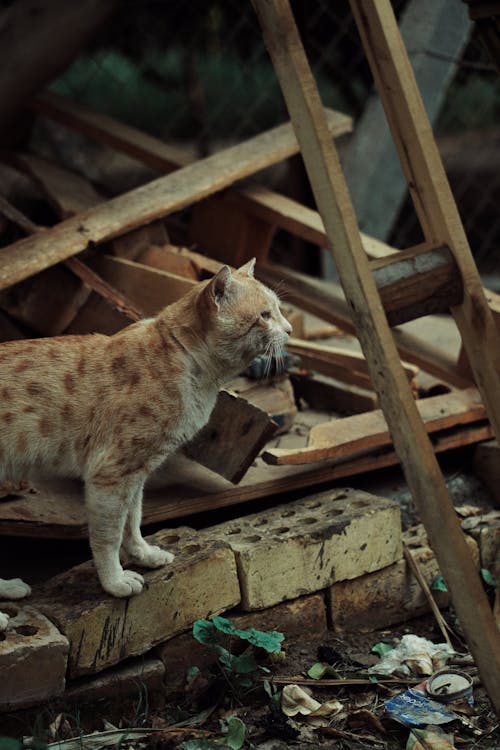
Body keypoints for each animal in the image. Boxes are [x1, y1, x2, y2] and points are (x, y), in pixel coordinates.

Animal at [0, 258, 292, 628]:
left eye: (278, 310)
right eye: (265, 315)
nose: (290, 330)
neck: (191, 367)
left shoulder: (136, 474)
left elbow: (133, 518)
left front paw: (143, 554)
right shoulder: (110, 475)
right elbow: (108, 536)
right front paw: (114, 582)